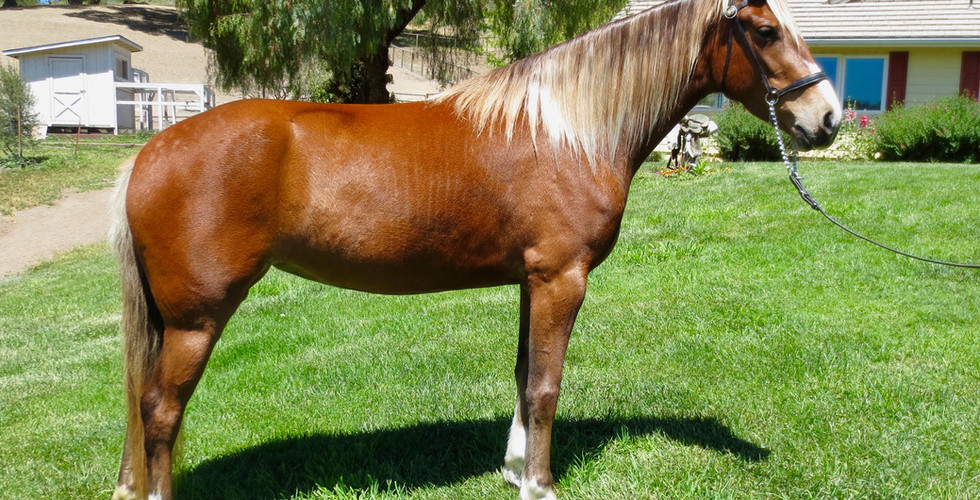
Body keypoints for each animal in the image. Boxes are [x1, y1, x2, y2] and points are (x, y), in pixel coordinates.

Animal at [110, 1, 840, 499]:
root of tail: (149, 153)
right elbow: (546, 384)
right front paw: (541, 483)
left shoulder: (530, 279)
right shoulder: (561, 277)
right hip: (197, 319)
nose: (828, 118)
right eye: (766, 31)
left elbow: (522, 373)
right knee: (161, 409)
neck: (569, 130)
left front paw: (514, 469)